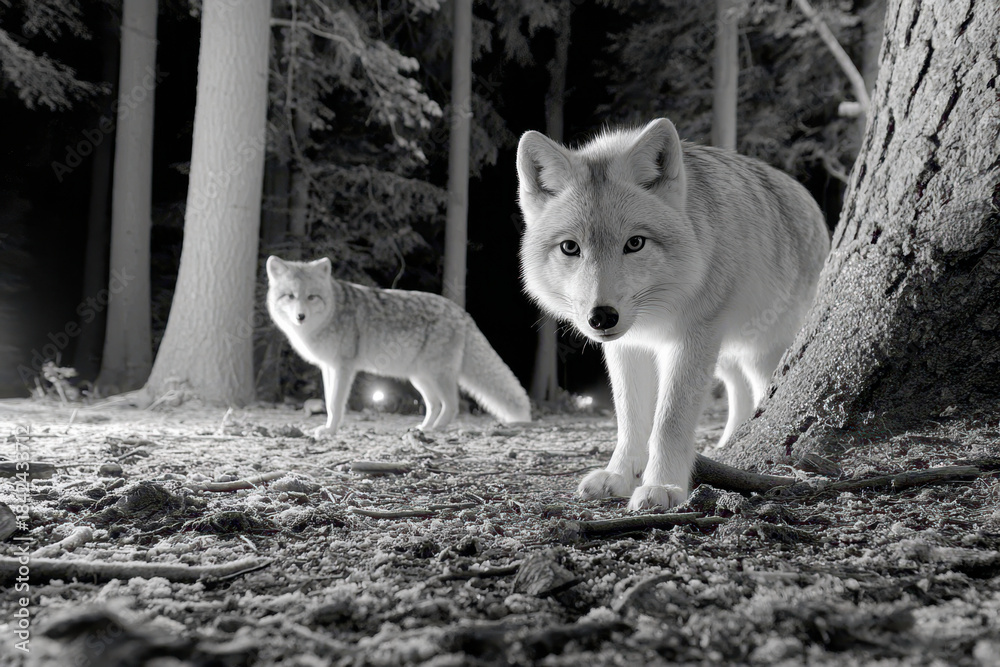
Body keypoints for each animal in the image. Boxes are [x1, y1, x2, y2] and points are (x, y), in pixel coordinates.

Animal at [266, 256, 531, 437]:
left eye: (311, 297)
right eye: (290, 296)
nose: (300, 316)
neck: (331, 314)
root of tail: (462, 313)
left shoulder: (344, 367)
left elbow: (334, 403)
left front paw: (330, 431)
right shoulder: (328, 367)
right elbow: (329, 400)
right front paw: (329, 428)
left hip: (436, 376)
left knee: (452, 405)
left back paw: (435, 430)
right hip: (420, 378)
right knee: (434, 405)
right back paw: (423, 428)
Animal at [516, 118, 829, 510]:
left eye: (635, 243)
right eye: (570, 248)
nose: (601, 317)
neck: (654, 318)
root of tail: (808, 198)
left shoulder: (690, 339)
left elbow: (669, 422)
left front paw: (662, 486)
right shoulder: (627, 347)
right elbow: (630, 419)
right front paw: (619, 476)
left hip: (761, 351)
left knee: (760, 392)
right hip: (726, 354)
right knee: (737, 390)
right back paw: (727, 444)